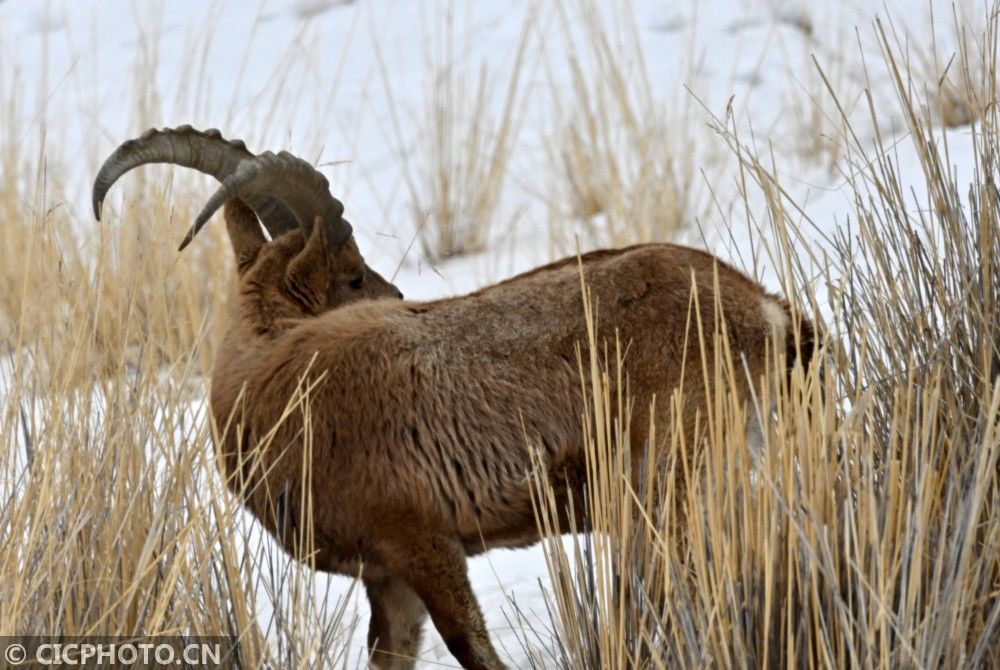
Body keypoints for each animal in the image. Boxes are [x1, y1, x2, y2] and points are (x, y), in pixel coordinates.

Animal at [94, 127, 812, 670]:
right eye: (352, 278)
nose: (399, 297)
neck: (277, 384)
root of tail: (765, 313)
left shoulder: (423, 540)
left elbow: (475, 650)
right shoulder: (387, 575)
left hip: (671, 486)